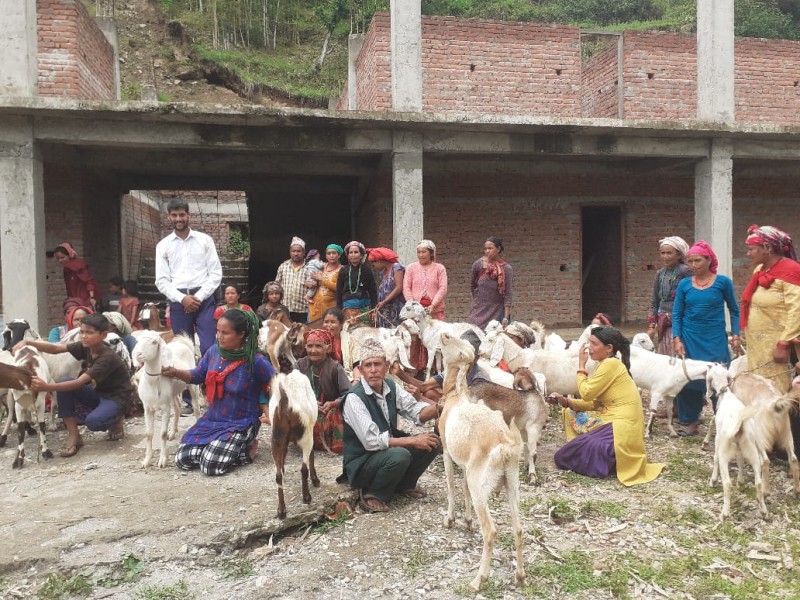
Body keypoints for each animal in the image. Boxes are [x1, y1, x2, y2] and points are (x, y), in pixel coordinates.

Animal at [132, 330, 198, 466]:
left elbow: (162, 434)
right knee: (177, 407)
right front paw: (147, 460)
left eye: (154, 342)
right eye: (137, 341)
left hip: (192, 384)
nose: (138, 354)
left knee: (196, 407)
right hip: (172, 394)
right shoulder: (147, 408)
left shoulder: (165, 409)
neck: (152, 383)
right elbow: (148, 433)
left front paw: (162, 459)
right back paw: (172, 433)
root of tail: (184, 343)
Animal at [268, 368, 318, 516]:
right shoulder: (311, 430)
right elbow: (312, 455)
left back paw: (281, 510)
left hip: (276, 439)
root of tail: (285, 400)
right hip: (306, 436)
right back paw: (306, 497)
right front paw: (315, 479)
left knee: (278, 475)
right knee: (303, 468)